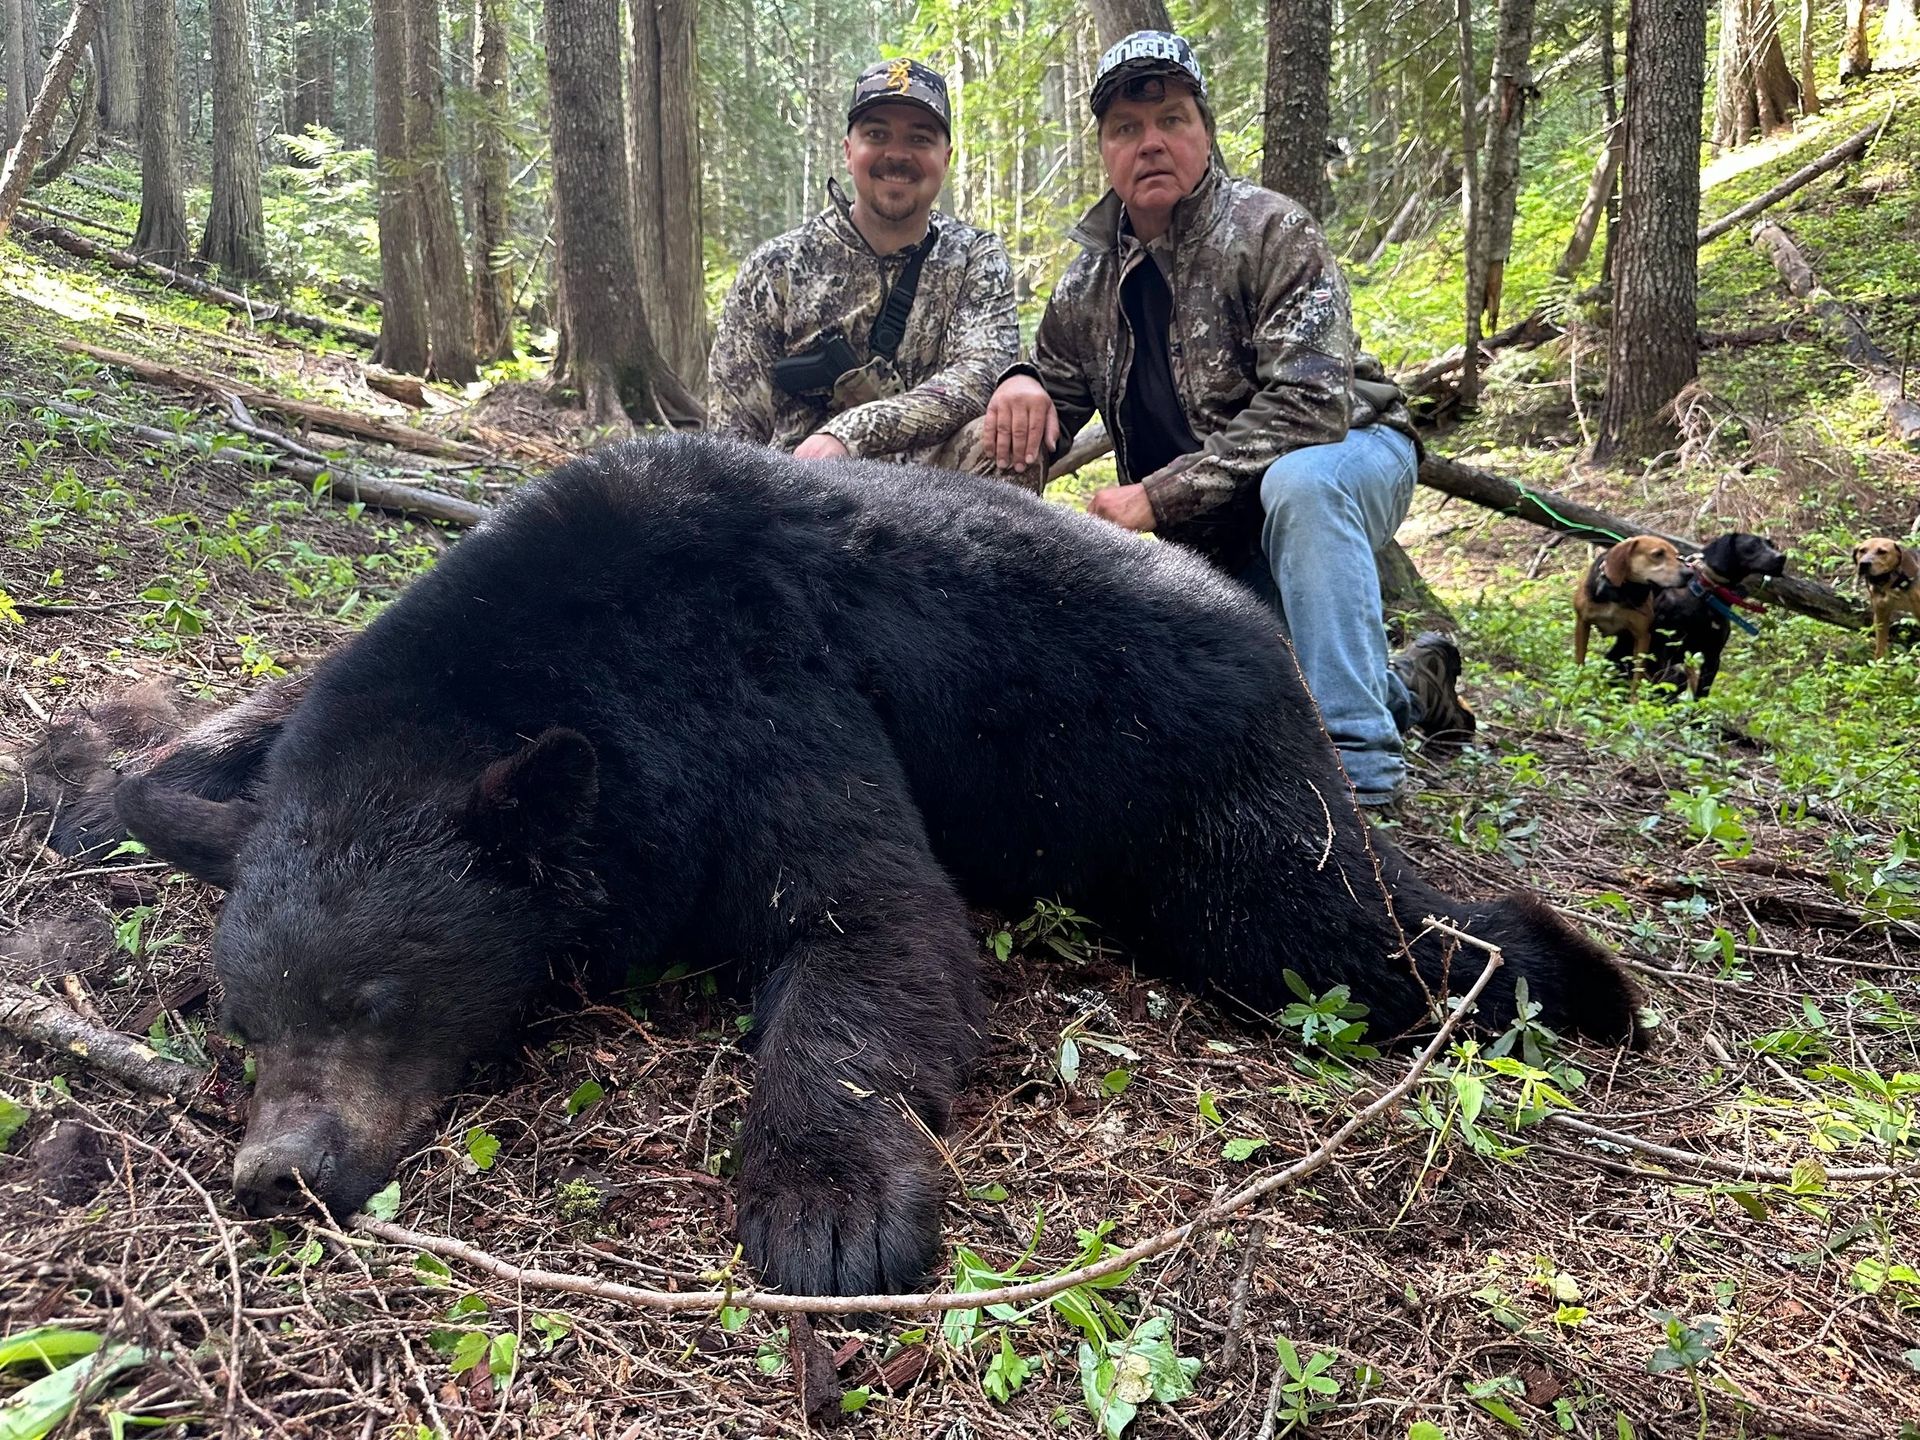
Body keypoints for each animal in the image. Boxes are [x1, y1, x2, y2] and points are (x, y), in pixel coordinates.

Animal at [92, 434, 1639, 1298]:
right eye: (244, 1023)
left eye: (377, 1002)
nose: (277, 1173)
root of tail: (1251, 619)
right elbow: (177, 774)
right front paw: (156, 765)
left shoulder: (761, 688)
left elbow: (872, 926)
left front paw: (826, 1210)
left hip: (1199, 788)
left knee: (1334, 924)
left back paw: (1579, 974)